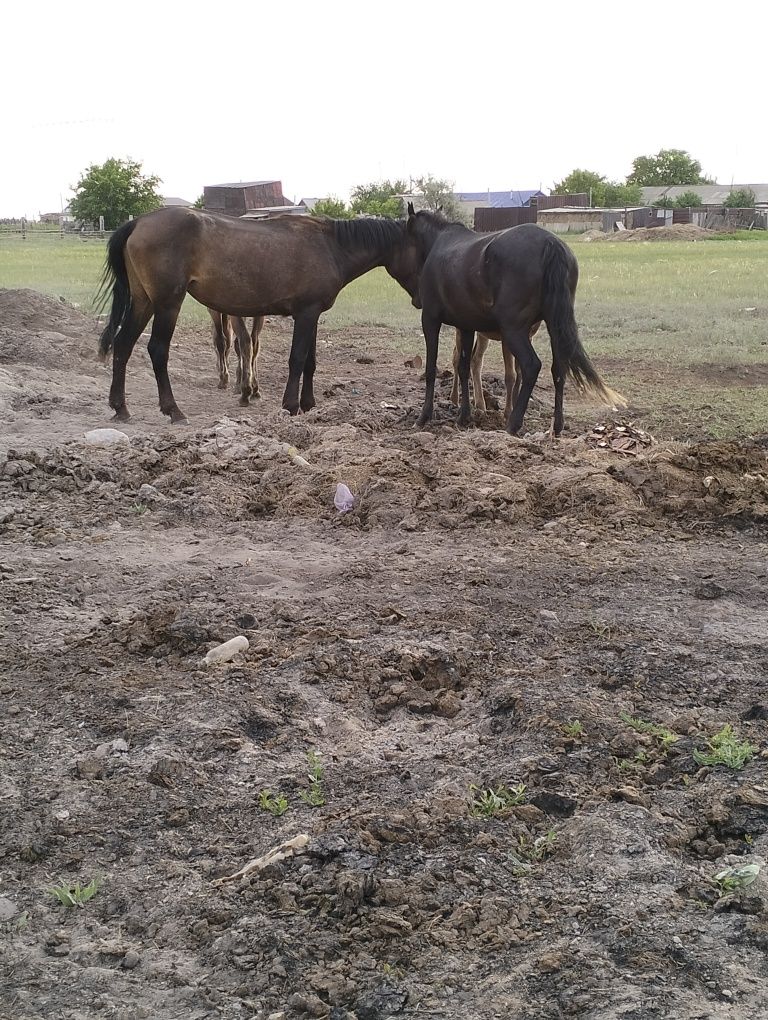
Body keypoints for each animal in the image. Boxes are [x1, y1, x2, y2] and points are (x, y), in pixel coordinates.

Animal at [403, 202, 620, 434]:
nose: (416, 300)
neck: (440, 243)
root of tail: (550, 243)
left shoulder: (431, 320)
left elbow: (432, 368)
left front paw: (424, 416)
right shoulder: (466, 326)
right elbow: (464, 366)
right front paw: (464, 416)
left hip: (513, 331)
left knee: (531, 365)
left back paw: (513, 423)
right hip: (553, 327)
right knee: (558, 369)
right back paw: (556, 425)